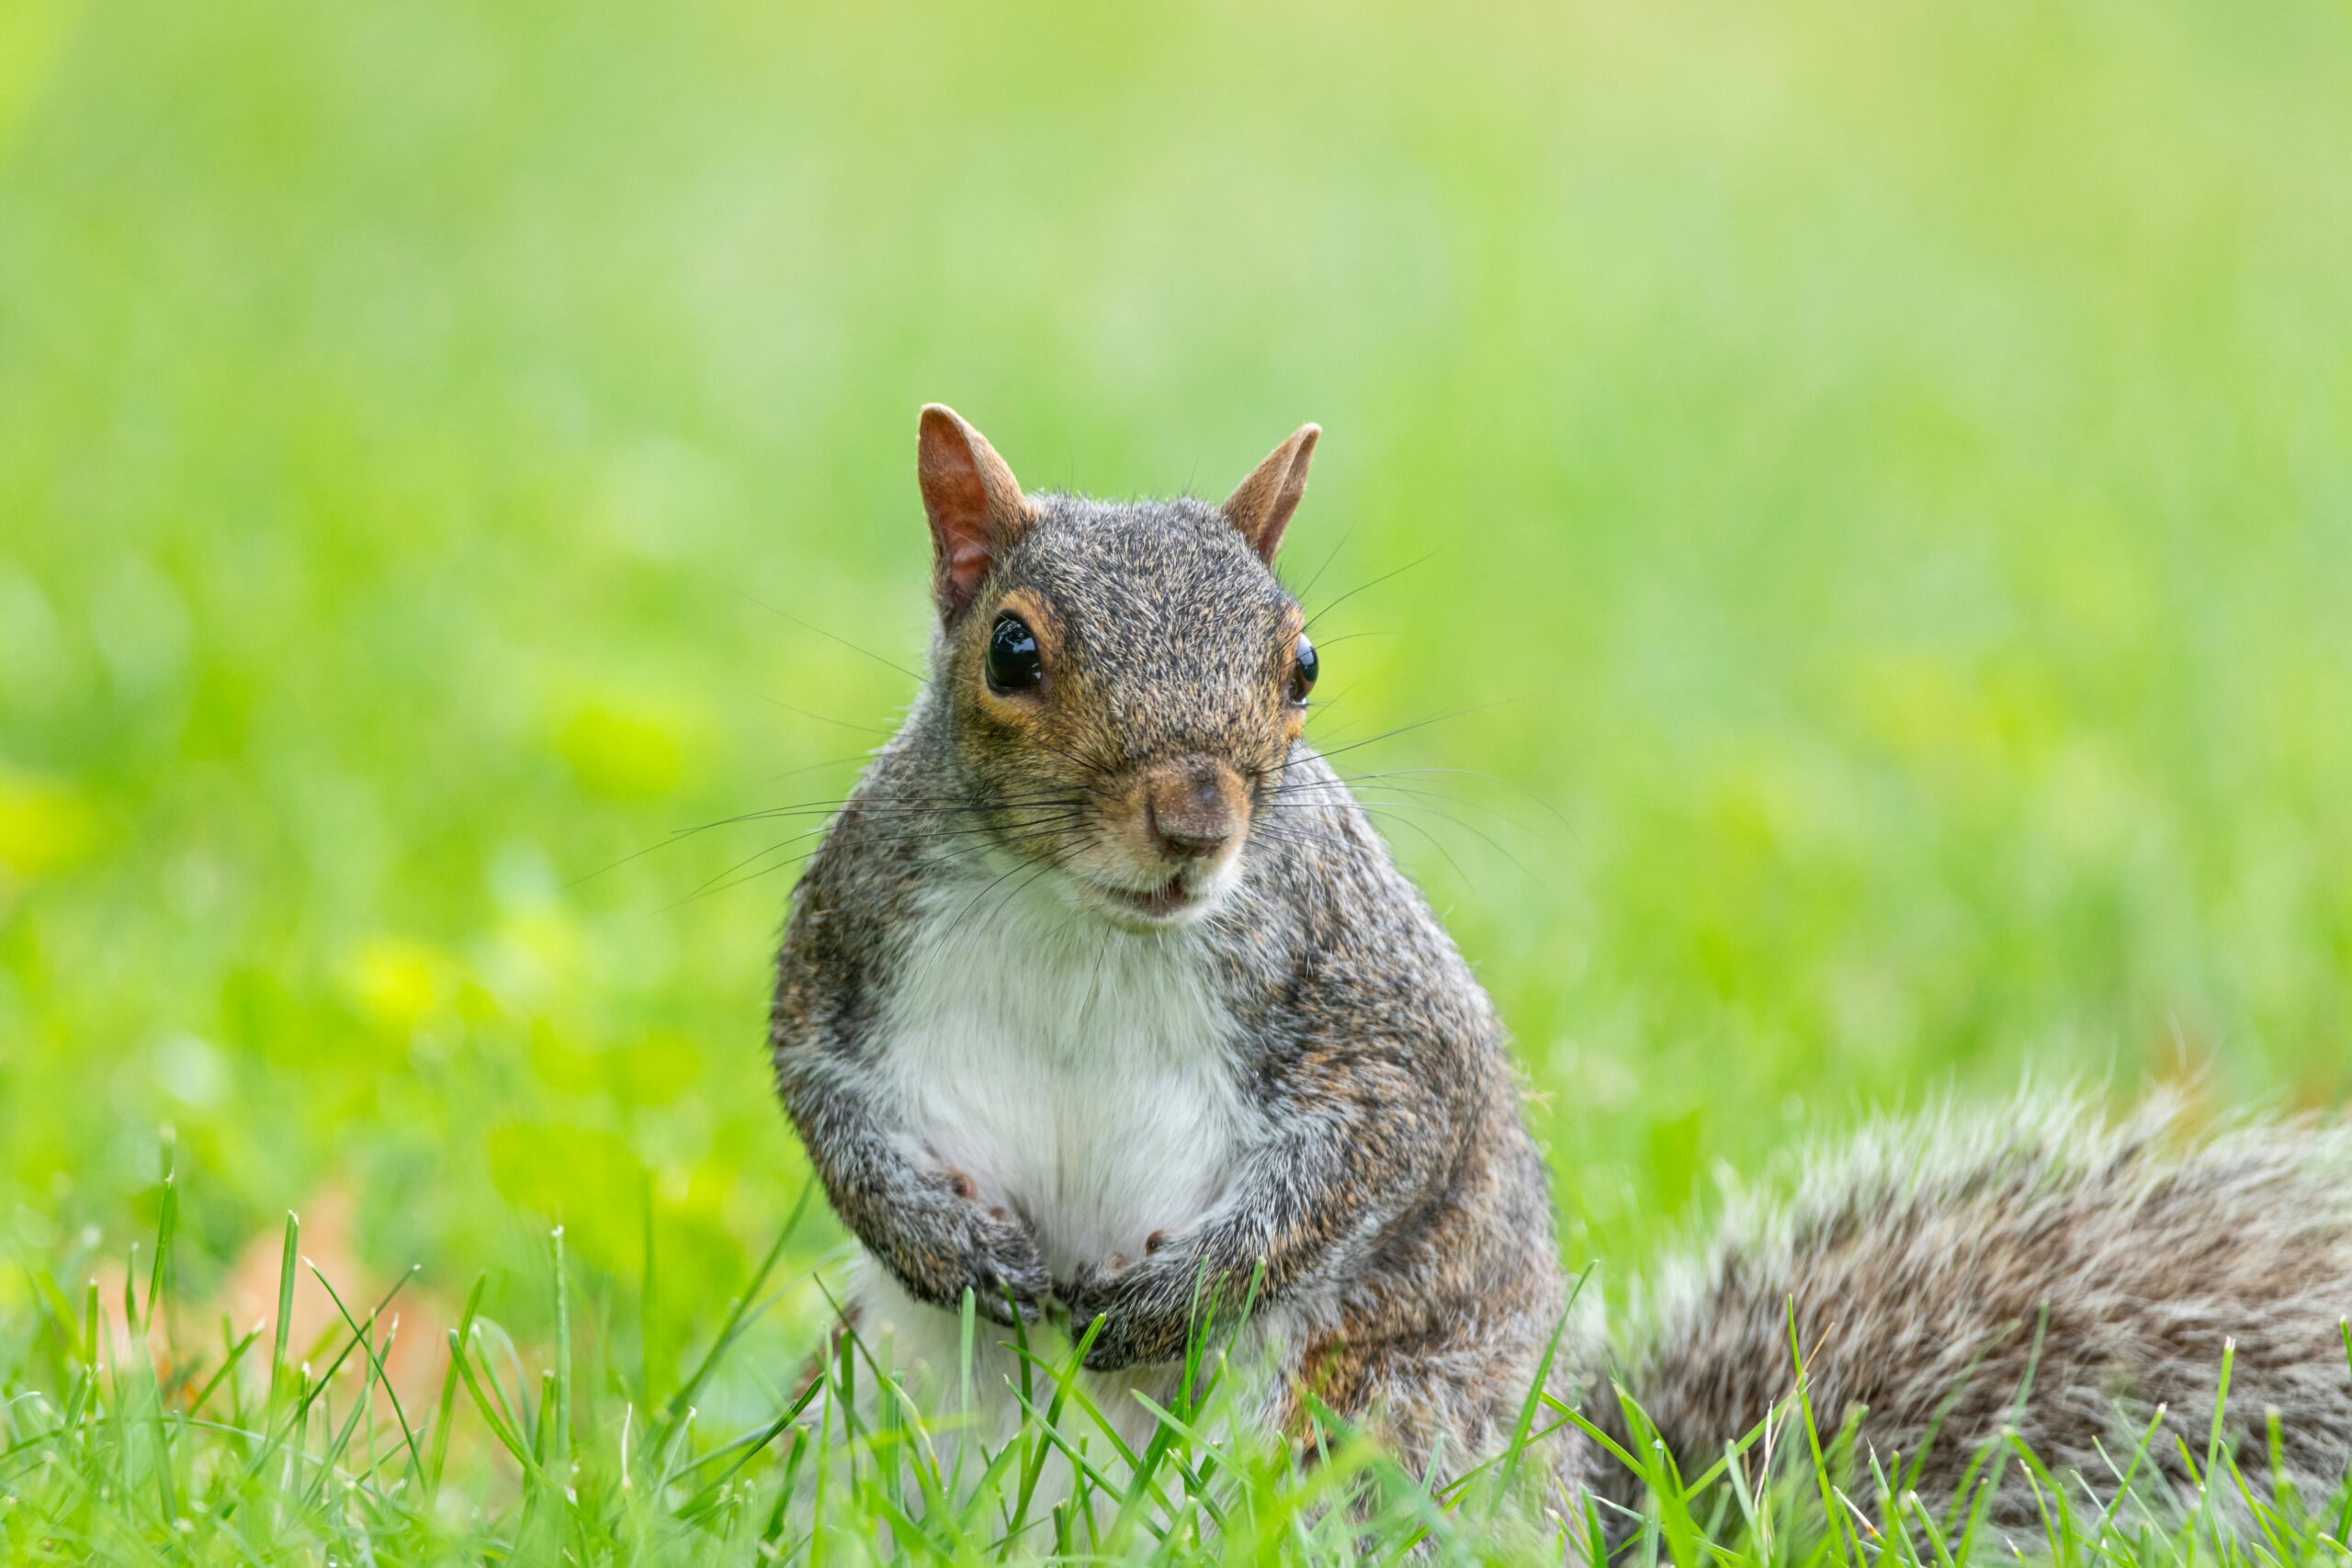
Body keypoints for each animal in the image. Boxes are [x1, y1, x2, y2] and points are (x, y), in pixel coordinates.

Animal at [771, 406, 2352, 1523]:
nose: (1196, 819)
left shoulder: (1370, 1003)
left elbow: (1372, 1146)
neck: (1086, 919)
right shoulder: (846, 933)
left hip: (1375, 1418)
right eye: (1012, 651)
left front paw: (1175, 1297)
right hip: (868, 1407)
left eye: (1301, 666)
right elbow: (816, 1089)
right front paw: (937, 1238)